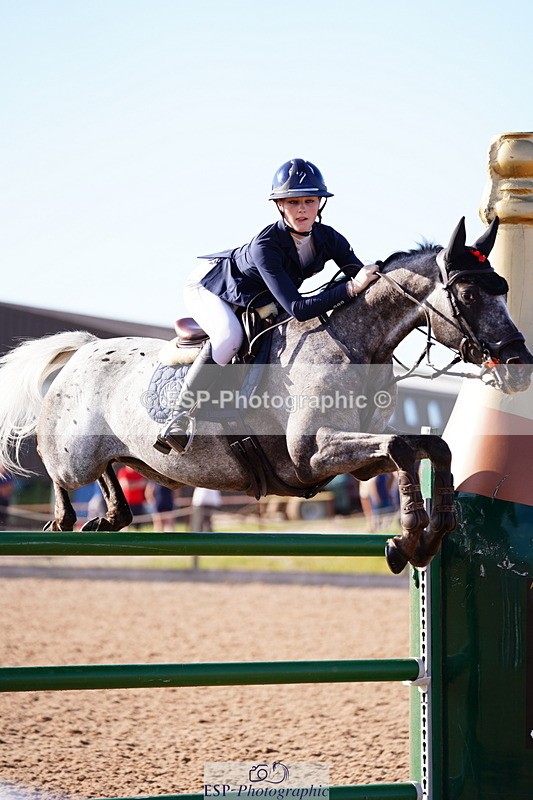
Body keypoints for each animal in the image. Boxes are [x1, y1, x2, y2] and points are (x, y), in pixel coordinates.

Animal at [0, 217, 531, 573]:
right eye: (469, 294)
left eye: (504, 289)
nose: (519, 365)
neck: (355, 345)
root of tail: (87, 348)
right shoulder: (312, 451)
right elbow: (403, 448)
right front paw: (407, 542)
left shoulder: (357, 459)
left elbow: (431, 447)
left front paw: (427, 536)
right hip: (73, 454)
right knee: (58, 469)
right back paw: (63, 519)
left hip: (121, 456)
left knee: (112, 469)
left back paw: (110, 516)